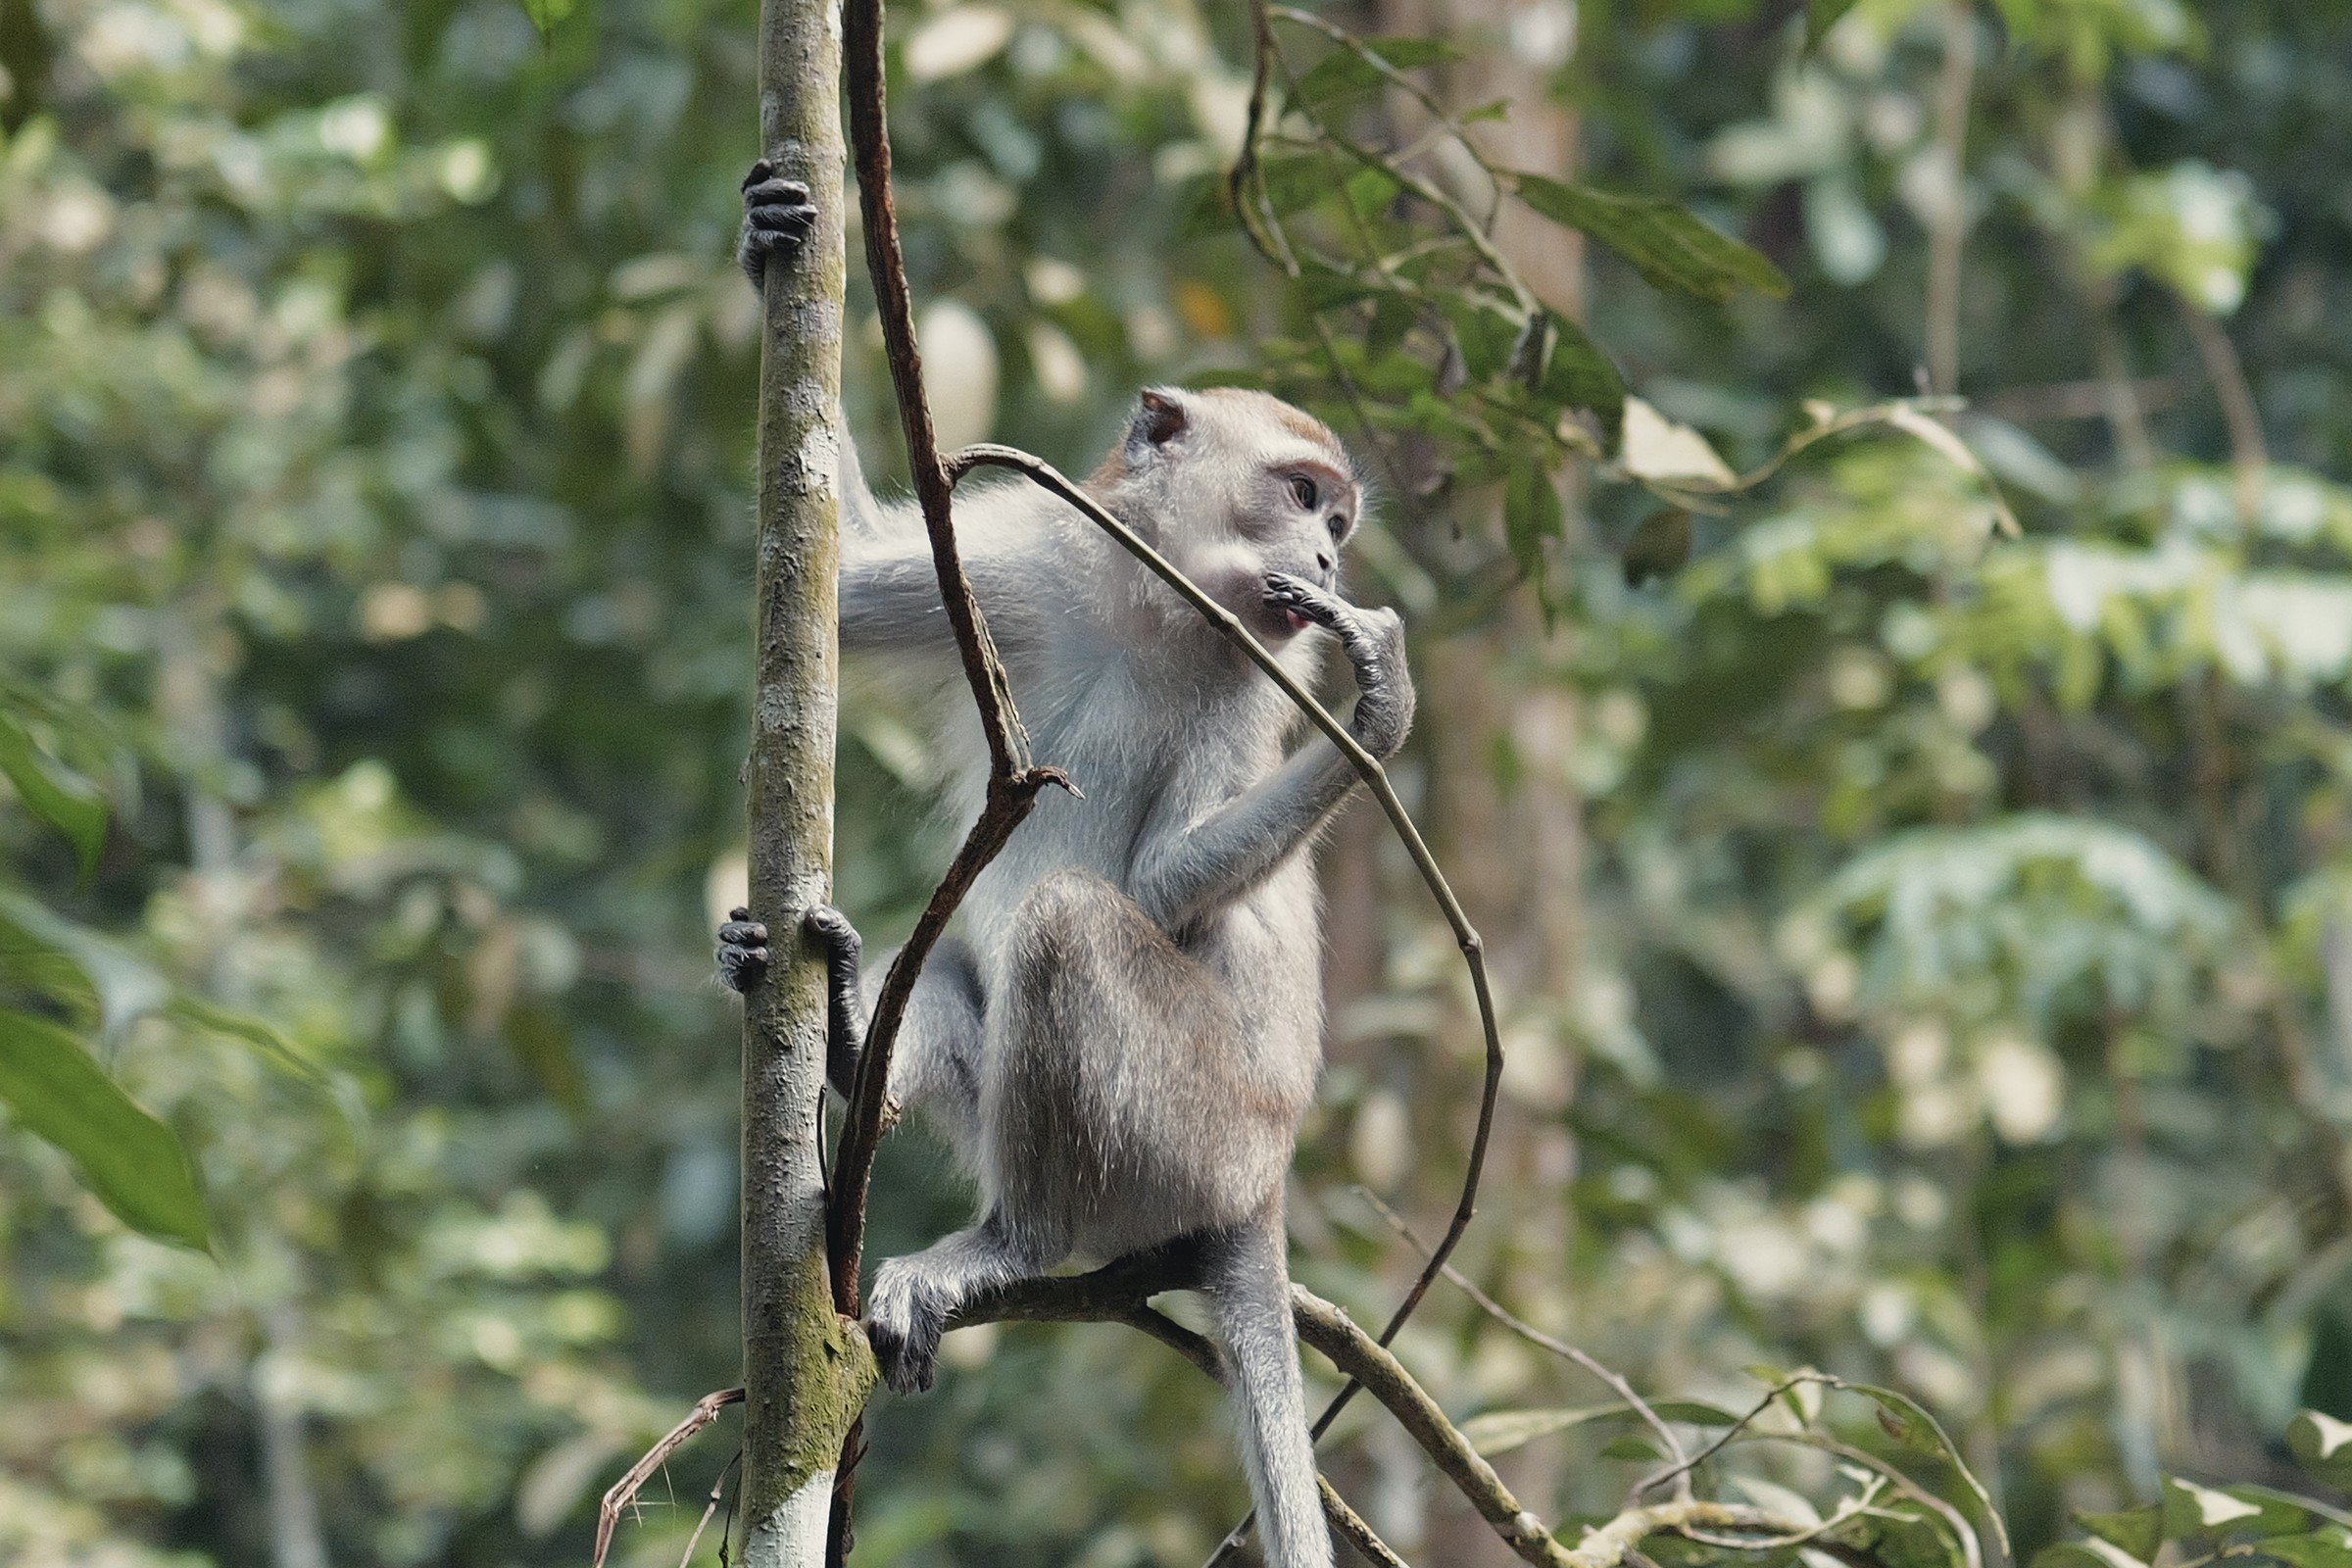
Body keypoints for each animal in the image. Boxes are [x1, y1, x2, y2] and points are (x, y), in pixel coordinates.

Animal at [719, 161, 1414, 1568]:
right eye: (1303, 496)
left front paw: (1380, 713)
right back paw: (845, 1028)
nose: (1329, 560)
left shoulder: (1249, 681)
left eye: (1337, 519)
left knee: (1068, 930)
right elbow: (852, 572)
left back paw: (1010, 1243)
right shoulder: (1032, 552)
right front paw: (768, 238)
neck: (1155, 605)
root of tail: (1270, 1178)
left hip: (1198, 1129)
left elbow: (1153, 888)